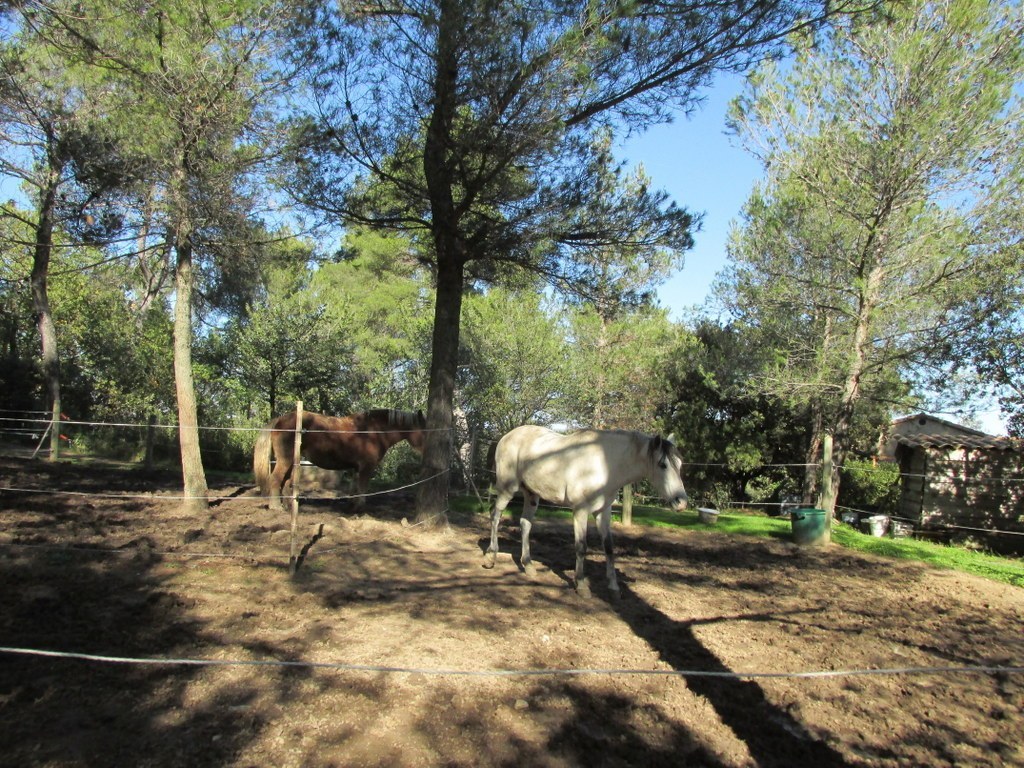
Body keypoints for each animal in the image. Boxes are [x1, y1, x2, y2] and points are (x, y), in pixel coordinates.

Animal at [253, 409, 425, 512]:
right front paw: (360, 508)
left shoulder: (356, 468)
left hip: (291, 460)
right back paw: (276, 506)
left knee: (286, 482)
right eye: (424, 429)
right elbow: (362, 487)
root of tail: (280, 419)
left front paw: (353, 505)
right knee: (275, 479)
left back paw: (289, 505)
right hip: (286, 459)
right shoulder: (366, 467)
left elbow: (354, 487)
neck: (374, 431)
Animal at [485, 428, 688, 602]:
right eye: (663, 465)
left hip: (531, 495)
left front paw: (614, 588)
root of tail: (506, 437)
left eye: (680, 464)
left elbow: (609, 548)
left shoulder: (603, 512)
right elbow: (581, 547)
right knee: (495, 515)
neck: (604, 464)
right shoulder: (580, 511)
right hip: (507, 489)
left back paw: (528, 566)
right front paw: (582, 586)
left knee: (525, 524)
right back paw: (490, 557)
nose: (682, 502)